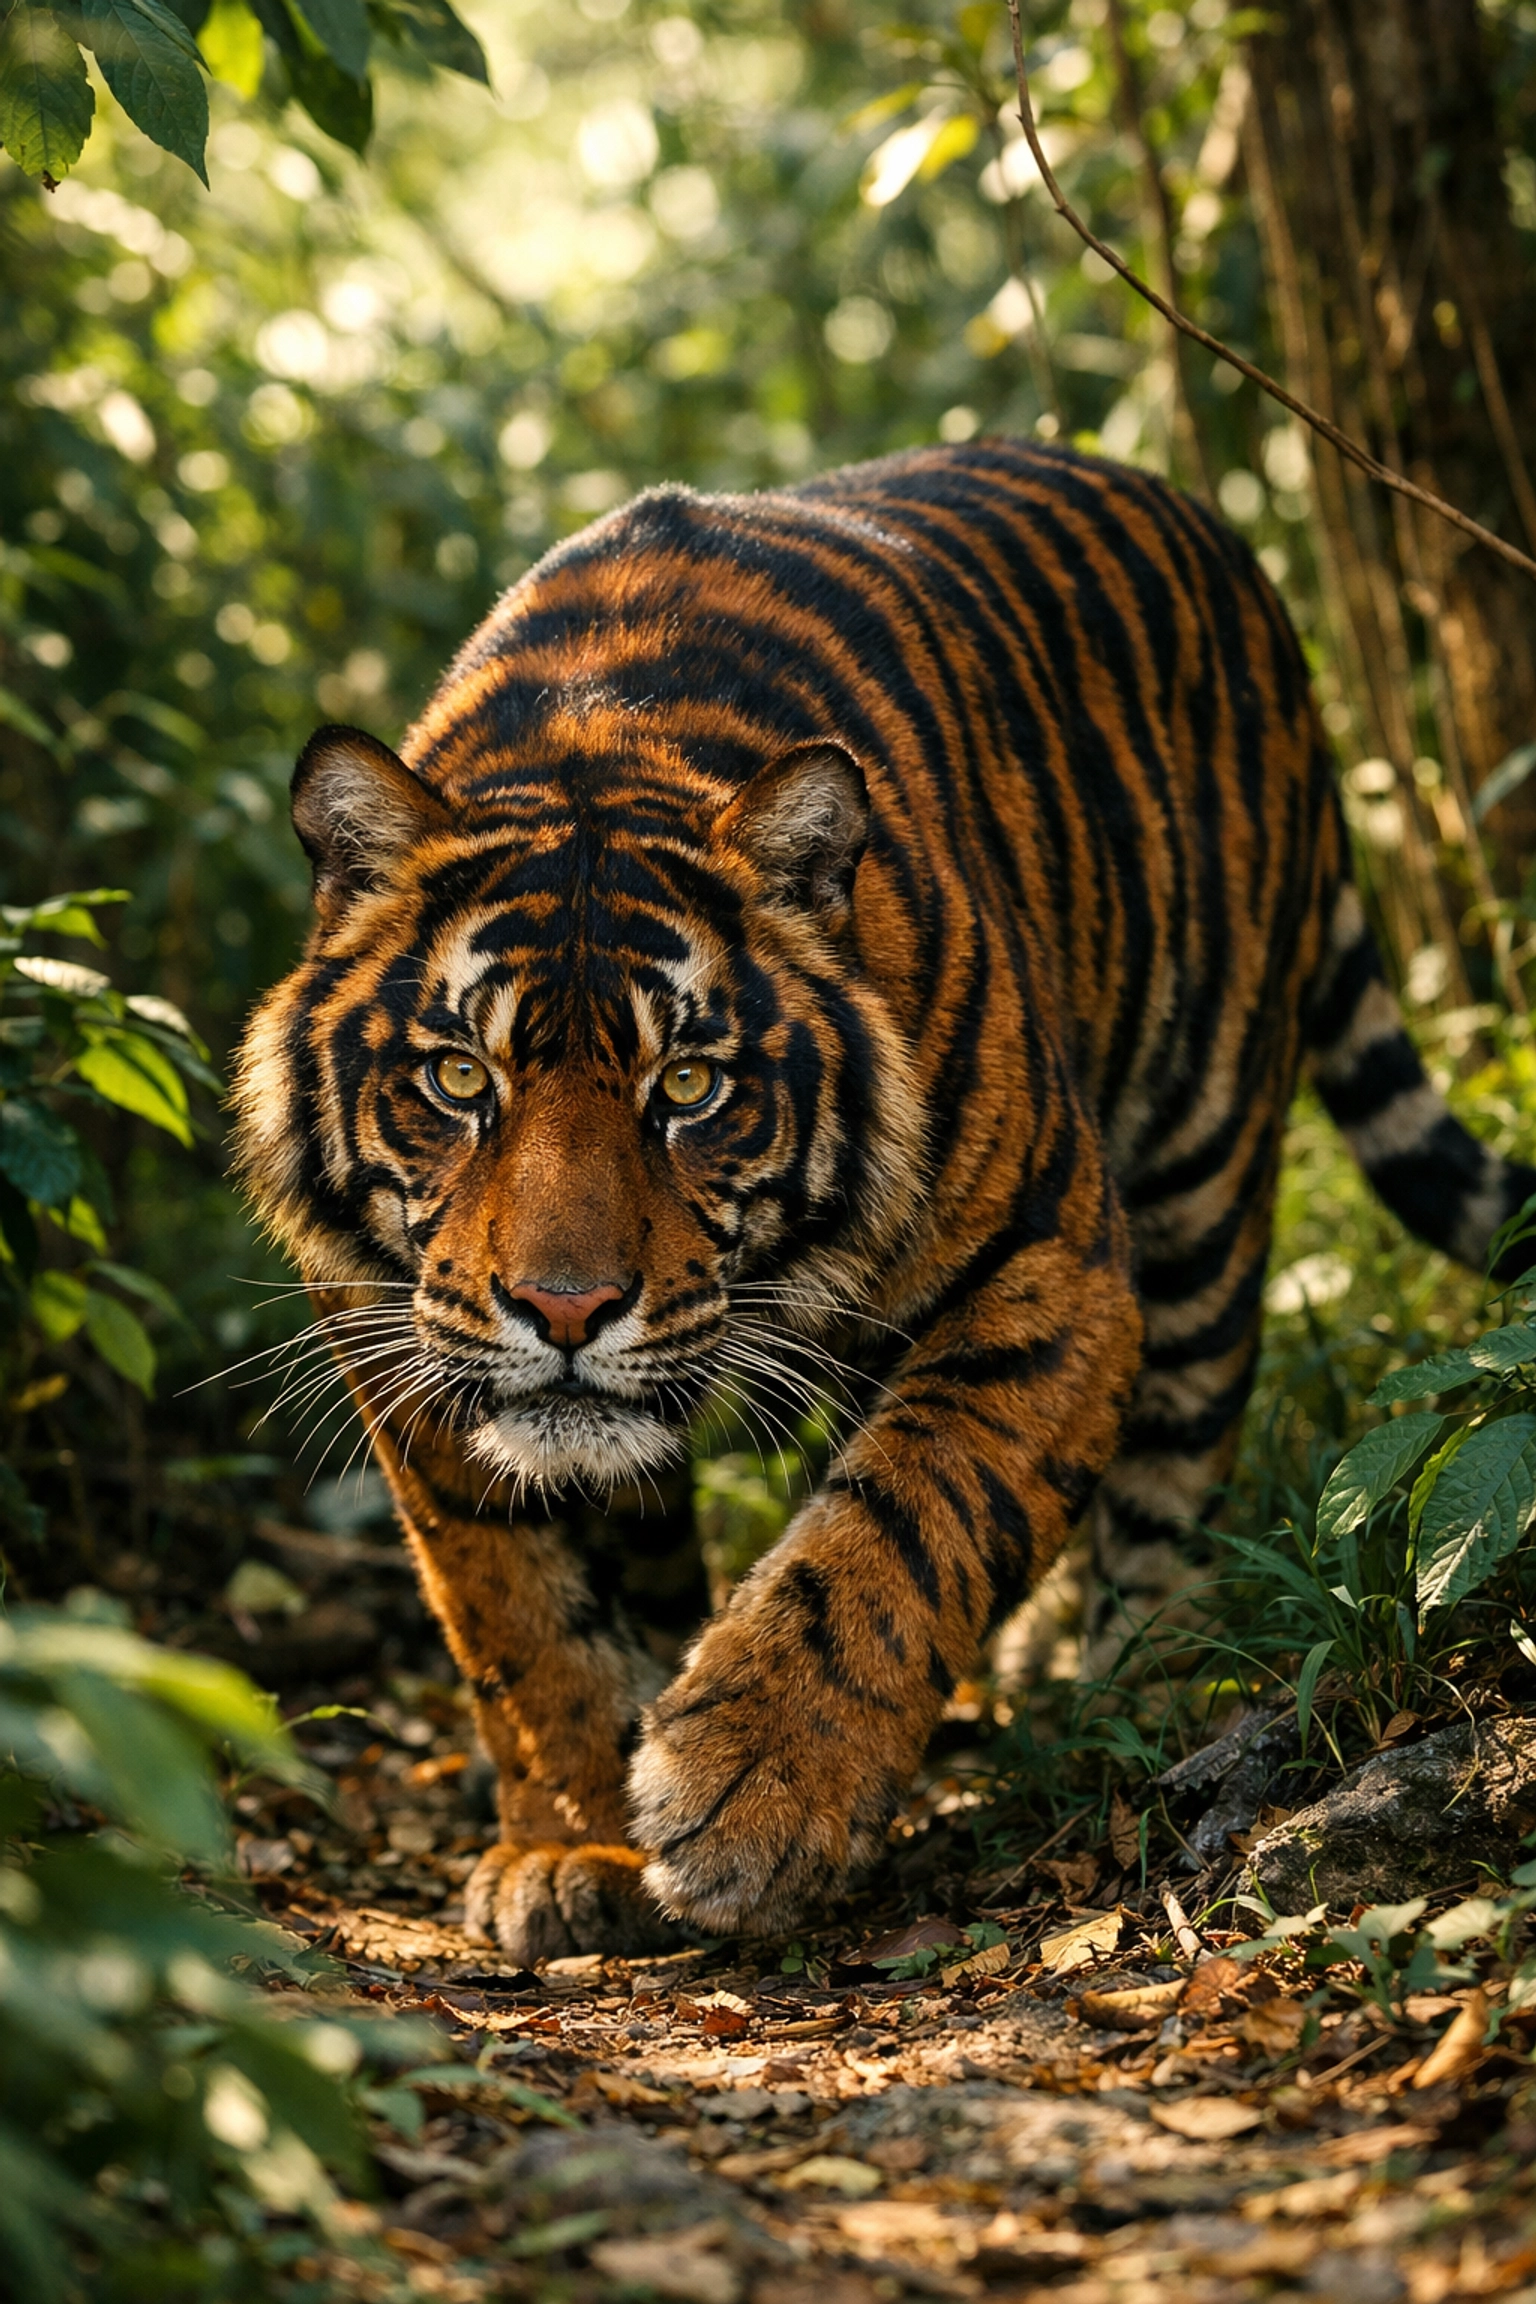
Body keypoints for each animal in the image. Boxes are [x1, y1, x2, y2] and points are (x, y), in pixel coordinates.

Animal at [233, 438, 1536, 1962]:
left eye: (689, 1086)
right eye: (457, 1078)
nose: (565, 1308)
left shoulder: (1051, 1274)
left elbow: (902, 1520)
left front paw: (750, 1791)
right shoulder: (395, 1327)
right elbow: (518, 1611)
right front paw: (568, 1844)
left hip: (1200, 1165)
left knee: (1175, 1466)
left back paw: (1140, 1697)